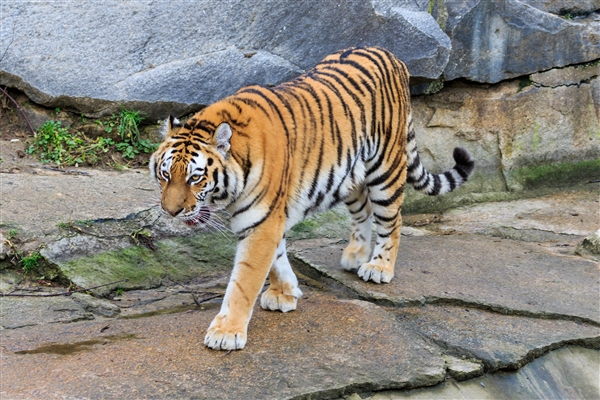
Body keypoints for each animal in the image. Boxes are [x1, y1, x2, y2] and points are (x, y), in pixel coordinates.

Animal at [149, 46, 474, 350]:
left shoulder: (261, 221)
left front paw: (226, 333)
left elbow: (244, 281)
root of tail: (391, 55)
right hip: (349, 174)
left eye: (195, 178)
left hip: (387, 167)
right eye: (165, 174)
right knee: (364, 210)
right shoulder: (270, 217)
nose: (170, 211)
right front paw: (285, 293)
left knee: (392, 220)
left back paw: (378, 268)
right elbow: (277, 258)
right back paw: (356, 255)